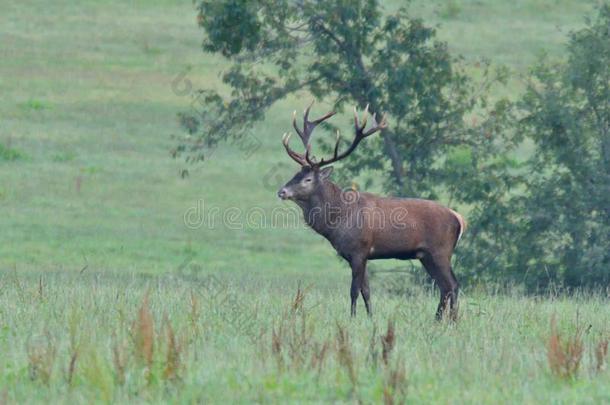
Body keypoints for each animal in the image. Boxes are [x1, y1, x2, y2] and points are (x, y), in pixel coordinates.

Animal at [276, 102, 466, 320]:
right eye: (295, 174)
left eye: (308, 179)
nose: (282, 191)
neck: (337, 221)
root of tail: (459, 219)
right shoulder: (360, 254)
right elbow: (366, 290)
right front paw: (370, 318)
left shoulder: (359, 249)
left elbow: (353, 289)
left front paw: (352, 318)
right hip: (426, 255)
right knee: (445, 286)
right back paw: (438, 320)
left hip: (441, 250)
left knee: (452, 284)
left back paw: (451, 321)